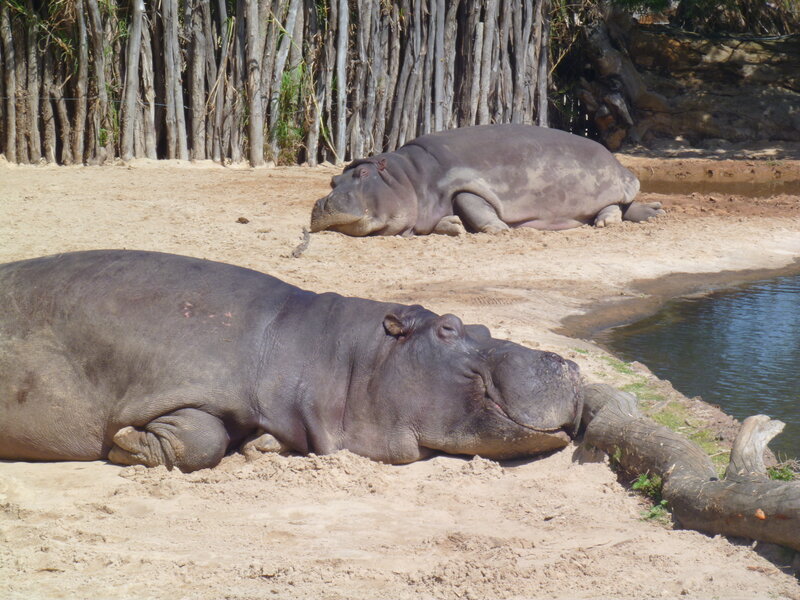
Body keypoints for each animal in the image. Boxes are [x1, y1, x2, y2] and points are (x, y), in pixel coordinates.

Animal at [0, 250, 583, 472]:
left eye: (480, 326)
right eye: (450, 327)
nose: (568, 362)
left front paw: (259, 446)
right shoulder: (182, 382)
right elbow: (202, 437)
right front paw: (124, 442)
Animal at [310, 124, 664, 235]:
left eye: (363, 173)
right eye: (333, 180)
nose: (323, 203)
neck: (406, 177)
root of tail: (619, 163)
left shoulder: (465, 182)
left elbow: (473, 203)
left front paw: (500, 229)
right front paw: (453, 226)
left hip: (608, 184)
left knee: (616, 205)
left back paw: (610, 222)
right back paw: (654, 212)